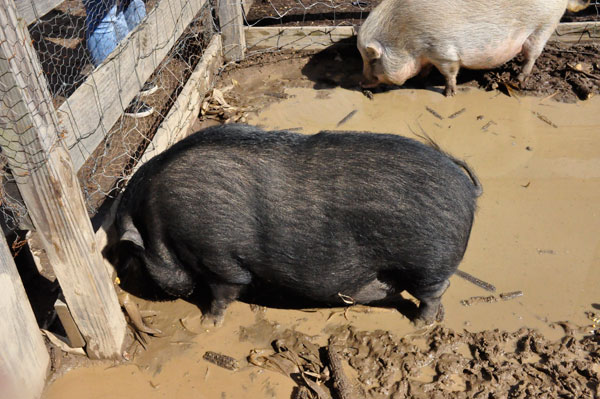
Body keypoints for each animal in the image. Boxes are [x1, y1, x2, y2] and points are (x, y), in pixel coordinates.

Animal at [115, 125, 482, 328]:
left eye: (132, 257)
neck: (161, 222)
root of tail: (467, 189)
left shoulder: (216, 254)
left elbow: (226, 290)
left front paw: (206, 323)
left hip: (426, 265)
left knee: (435, 292)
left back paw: (419, 325)